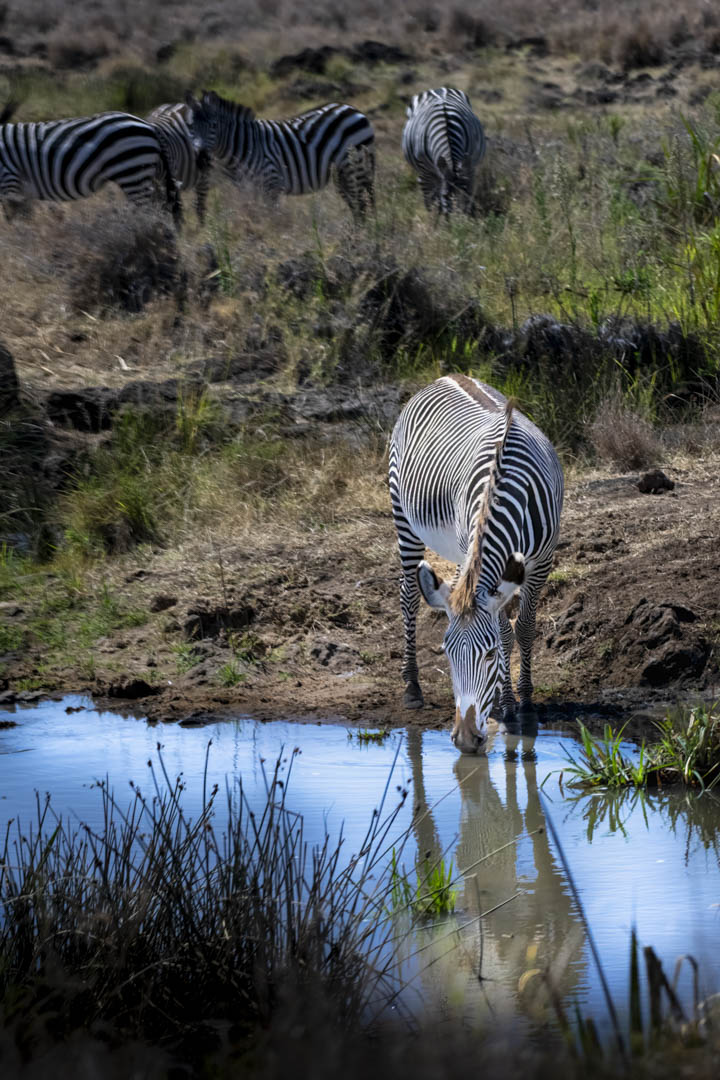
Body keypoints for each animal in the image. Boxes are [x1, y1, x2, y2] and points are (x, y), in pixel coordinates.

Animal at [0, 110, 181, 224]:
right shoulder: (20, 192)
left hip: (132, 173)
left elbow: (11, 220)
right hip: (148, 173)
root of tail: (151, 126)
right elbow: (20, 218)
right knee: (161, 206)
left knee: (148, 212)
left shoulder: (9, 182)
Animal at [184, 90, 375, 219]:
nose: (200, 159)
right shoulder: (246, 189)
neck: (241, 147)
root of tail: (351, 108)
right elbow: (255, 216)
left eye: (214, 126)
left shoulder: (272, 183)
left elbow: (272, 218)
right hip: (341, 172)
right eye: (191, 126)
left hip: (354, 165)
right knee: (354, 203)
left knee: (362, 202)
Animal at [389, 375, 564, 754]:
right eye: (447, 655)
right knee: (408, 596)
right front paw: (507, 705)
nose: (466, 740)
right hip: (404, 517)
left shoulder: (541, 562)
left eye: (489, 655)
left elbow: (522, 628)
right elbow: (505, 630)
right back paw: (412, 686)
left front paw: (525, 704)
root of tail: (446, 376)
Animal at [402, 87, 486, 216]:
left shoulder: (469, 168)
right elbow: (433, 201)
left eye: (465, 193)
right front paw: (435, 219)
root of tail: (439, 90)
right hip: (426, 172)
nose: (459, 220)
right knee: (429, 194)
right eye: (446, 195)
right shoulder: (427, 172)